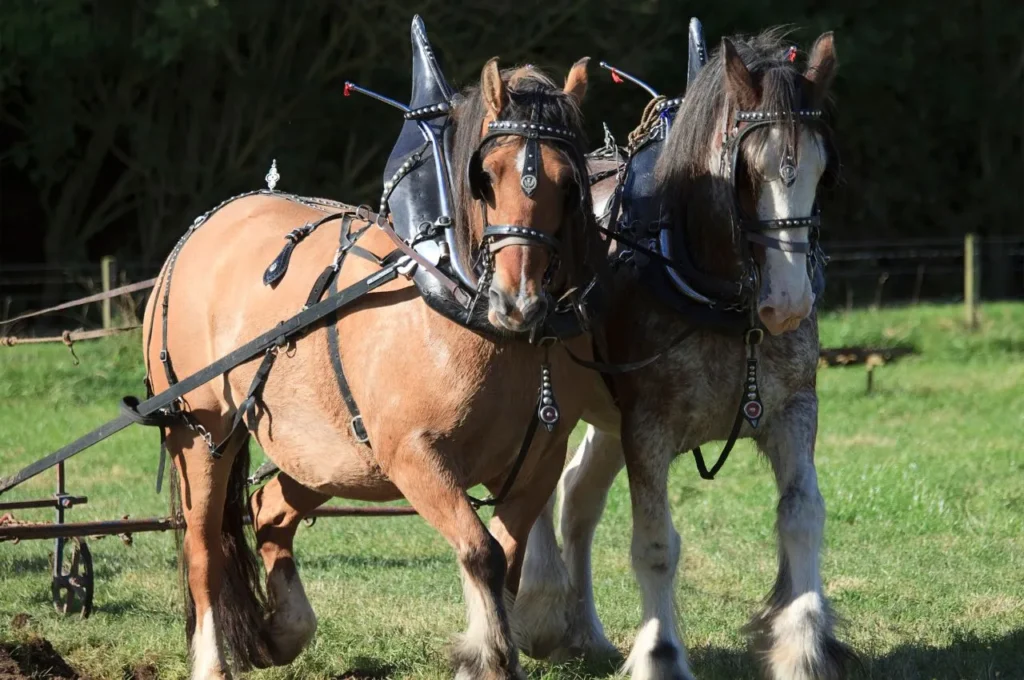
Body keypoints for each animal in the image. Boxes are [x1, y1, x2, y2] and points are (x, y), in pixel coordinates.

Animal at [142, 58, 612, 680]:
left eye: (569, 184)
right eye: (485, 176)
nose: (520, 302)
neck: (464, 305)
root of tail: (204, 227)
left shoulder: (536, 465)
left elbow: (507, 563)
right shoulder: (415, 456)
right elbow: (482, 553)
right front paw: (488, 652)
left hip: (328, 455)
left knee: (270, 513)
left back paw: (285, 630)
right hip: (202, 433)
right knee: (203, 552)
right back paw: (213, 661)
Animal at [513, 29, 856, 680]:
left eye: (823, 172)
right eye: (745, 171)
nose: (788, 302)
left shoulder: (794, 409)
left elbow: (802, 516)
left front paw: (802, 646)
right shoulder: (647, 426)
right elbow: (655, 545)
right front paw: (661, 654)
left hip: (607, 419)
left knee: (577, 499)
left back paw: (584, 631)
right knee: (536, 490)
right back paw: (541, 611)